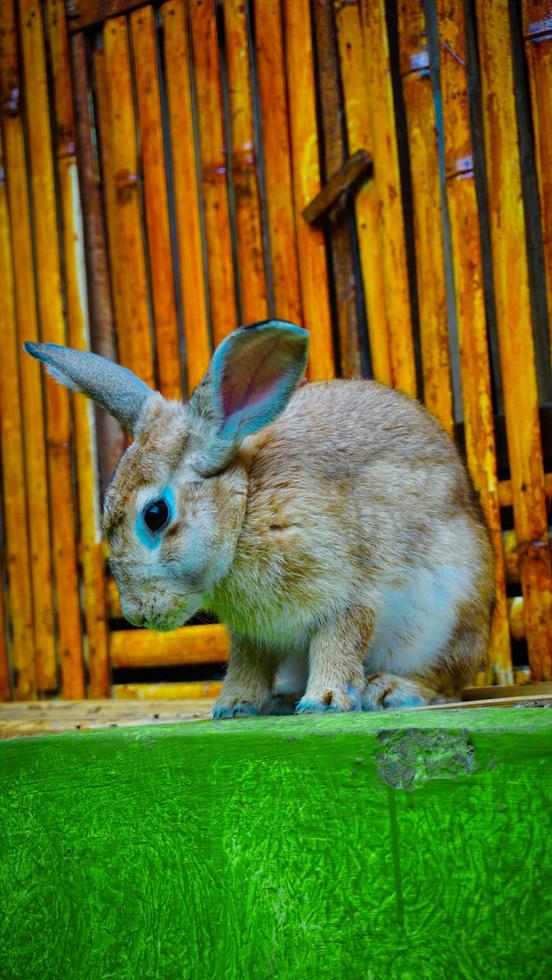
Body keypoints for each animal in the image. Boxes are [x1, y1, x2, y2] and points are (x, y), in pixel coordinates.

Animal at [24, 322, 496, 712]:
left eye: (155, 515)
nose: (136, 614)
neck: (245, 508)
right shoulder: (253, 634)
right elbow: (248, 664)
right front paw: (234, 706)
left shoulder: (351, 594)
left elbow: (339, 644)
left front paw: (325, 701)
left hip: (446, 621)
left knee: (447, 682)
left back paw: (392, 691)